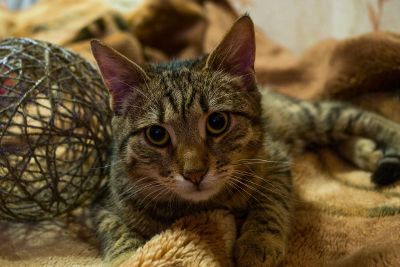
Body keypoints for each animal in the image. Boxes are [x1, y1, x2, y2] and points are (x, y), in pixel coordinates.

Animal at [90, 16, 400, 267]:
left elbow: (269, 202)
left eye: (217, 122)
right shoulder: (102, 204)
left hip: (314, 117)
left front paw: (258, 241)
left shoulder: (275, 161)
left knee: (363, 117)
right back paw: (369, 152)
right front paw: (128, 255)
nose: (194, 174)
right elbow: (115, 229)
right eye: (157, 135)